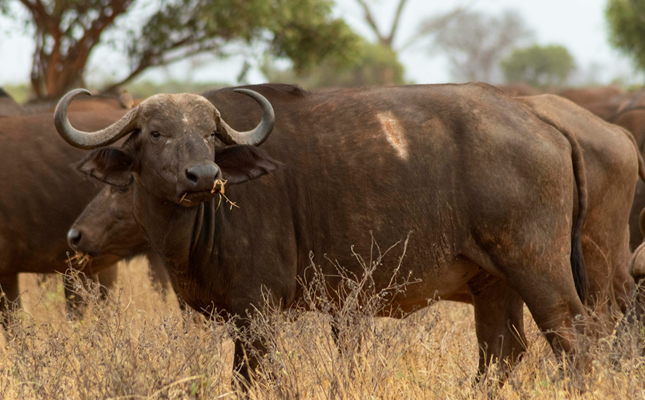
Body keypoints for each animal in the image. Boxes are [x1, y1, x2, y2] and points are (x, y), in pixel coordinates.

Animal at [56, 82, 630, 385]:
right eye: (156, 134)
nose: (203, 175)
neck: (197, 228)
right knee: (501, 353)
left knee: (575, 341)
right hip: (494, 284)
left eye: (208, 136)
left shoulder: (258, 311)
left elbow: (252, 378)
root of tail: (535, 113)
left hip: (542, 272)